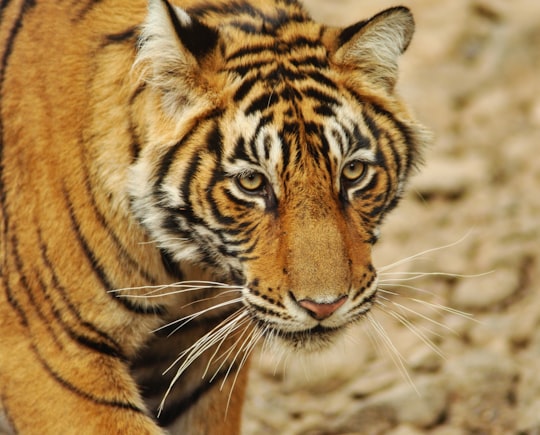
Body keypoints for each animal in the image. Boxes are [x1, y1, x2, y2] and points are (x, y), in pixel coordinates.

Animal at [1, 0, 430, 434]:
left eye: (353, 172)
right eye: (252, 182)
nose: (324, 307)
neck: (186, 268)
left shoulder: (206, 356)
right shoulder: (53, 352)